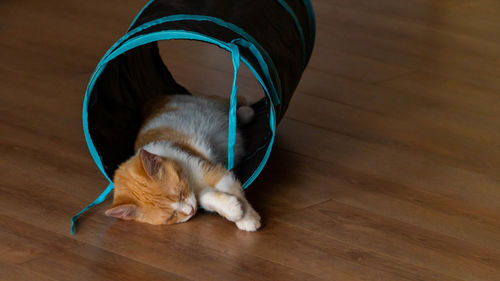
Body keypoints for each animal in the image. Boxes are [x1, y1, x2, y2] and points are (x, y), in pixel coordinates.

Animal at [105, 94, 262, 230]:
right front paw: (232, 209)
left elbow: (233, 190)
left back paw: (246, 111)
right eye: (171, 216)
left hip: (209, 102)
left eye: (180, 193)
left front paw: (248, 218)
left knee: (230, 104)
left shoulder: (213, 171)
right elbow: (205, 197)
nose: (191, 211)